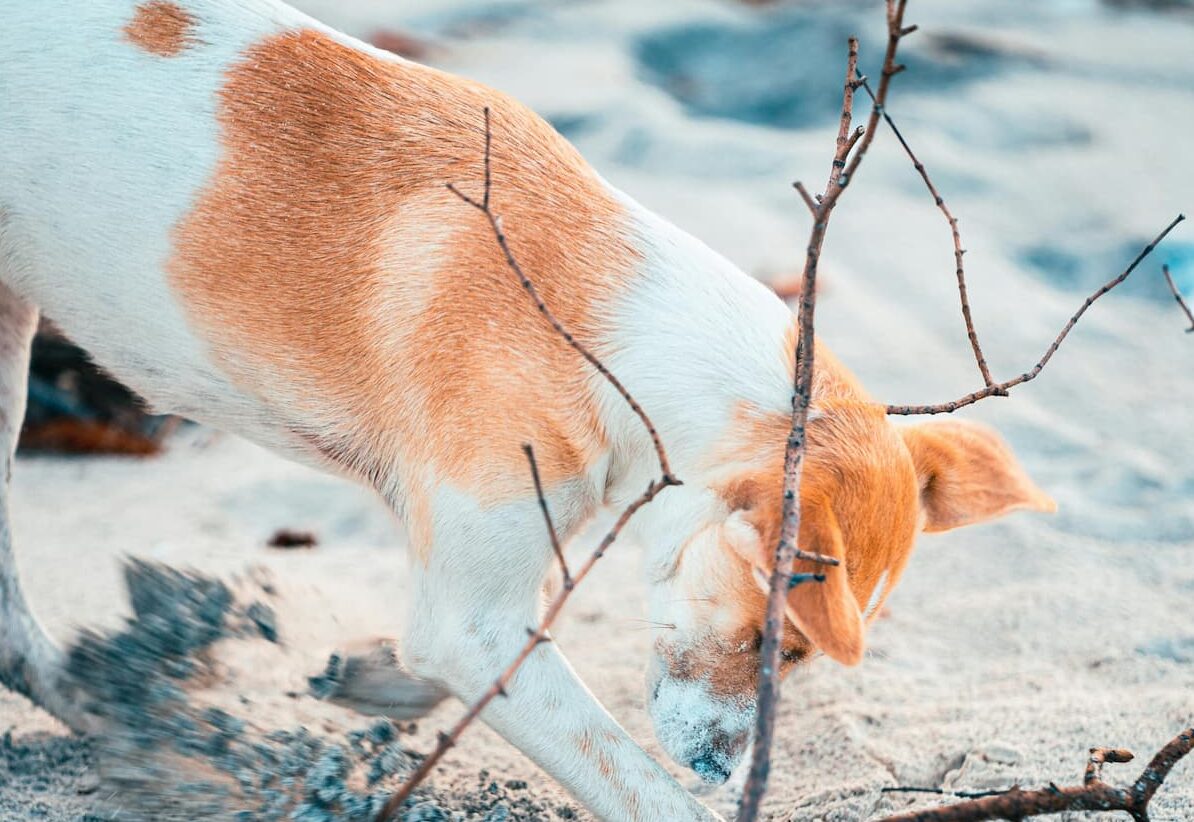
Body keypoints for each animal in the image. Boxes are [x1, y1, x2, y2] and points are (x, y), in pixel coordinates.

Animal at [0, 3, 1055, 817]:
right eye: (776, 644)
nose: (722, 770)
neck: (611, 333)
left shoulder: (488, 593)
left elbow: (439, 663)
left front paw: (368, 679)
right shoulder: (471, 622)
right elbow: (634, 782)